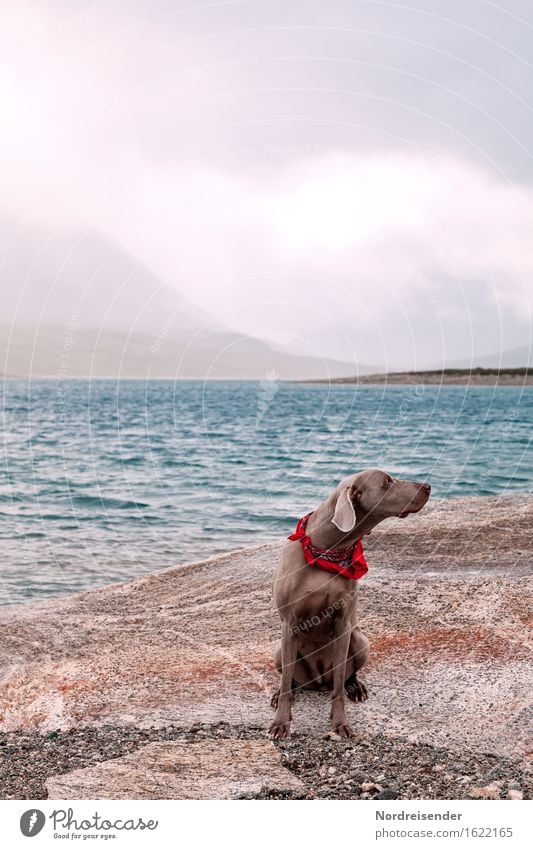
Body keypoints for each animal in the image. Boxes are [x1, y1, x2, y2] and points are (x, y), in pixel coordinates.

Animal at [268, 468, 430, 740]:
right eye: (387, 481)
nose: (428, 486)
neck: (327, 553)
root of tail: (319, 682)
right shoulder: (290, 623)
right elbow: (287, 684)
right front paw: (281, 723)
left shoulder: (343, 623)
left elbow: (339, 689)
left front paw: (340, 723)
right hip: (279, 651)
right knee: (290, 680)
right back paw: (280, 693)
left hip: (360, 640)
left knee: (344, 677)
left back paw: (356, 687)